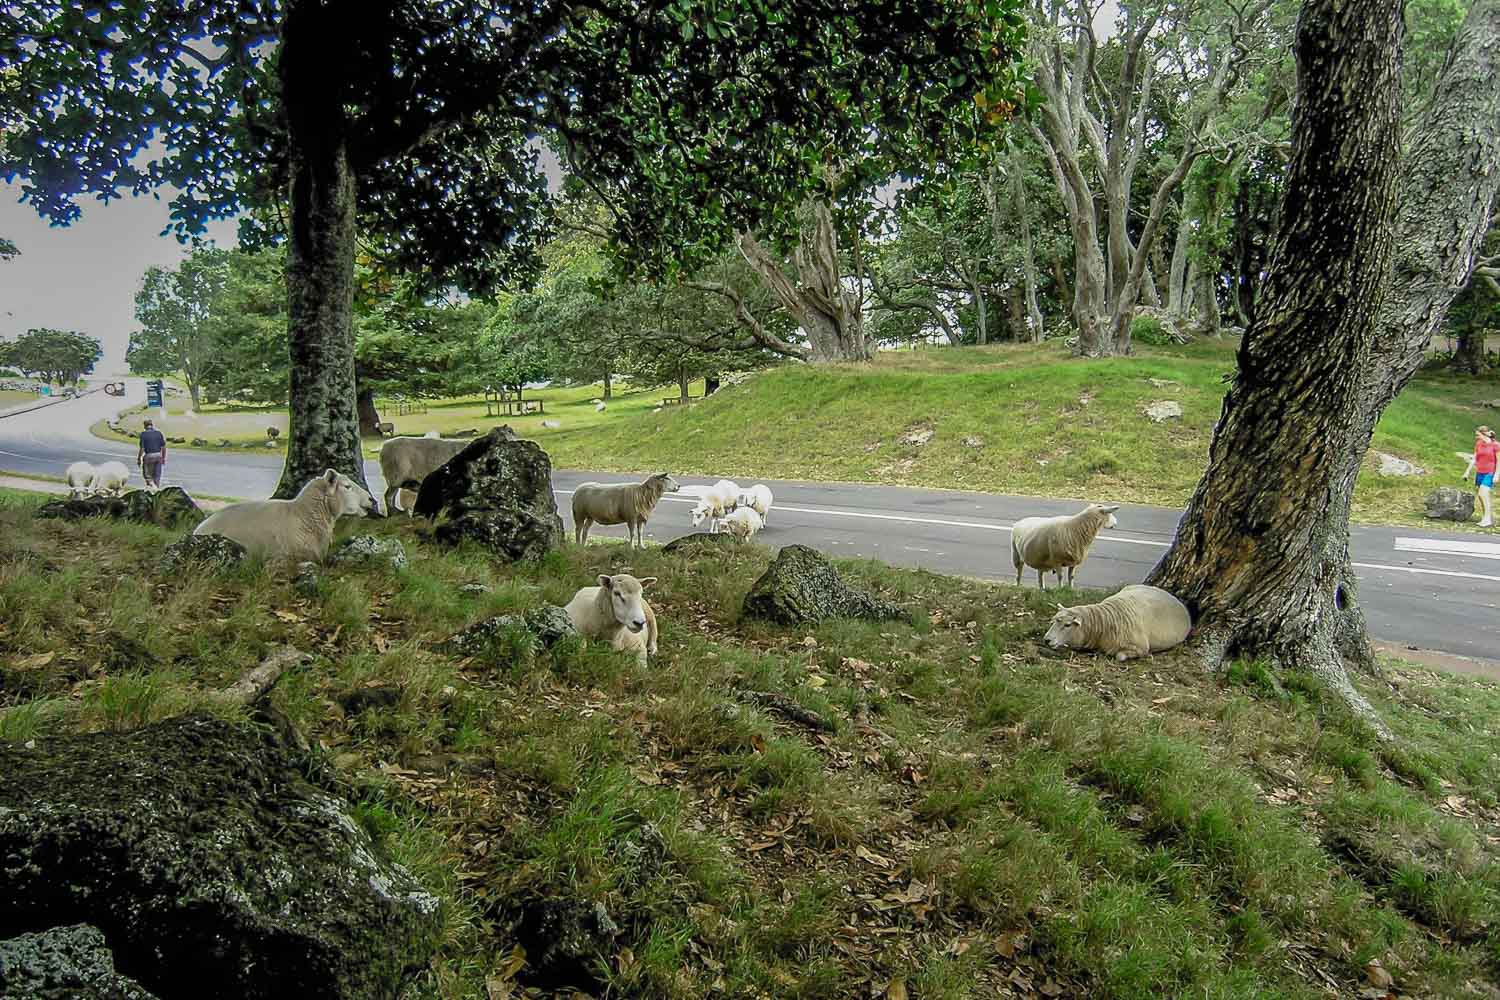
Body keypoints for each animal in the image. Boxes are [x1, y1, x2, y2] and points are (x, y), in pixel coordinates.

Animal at [1043, 584, 1191, 661]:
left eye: (1067, 625)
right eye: (1053, 621)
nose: (1046, 640)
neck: (1103, 621)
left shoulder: (1140, 648)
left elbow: (1119, 656)